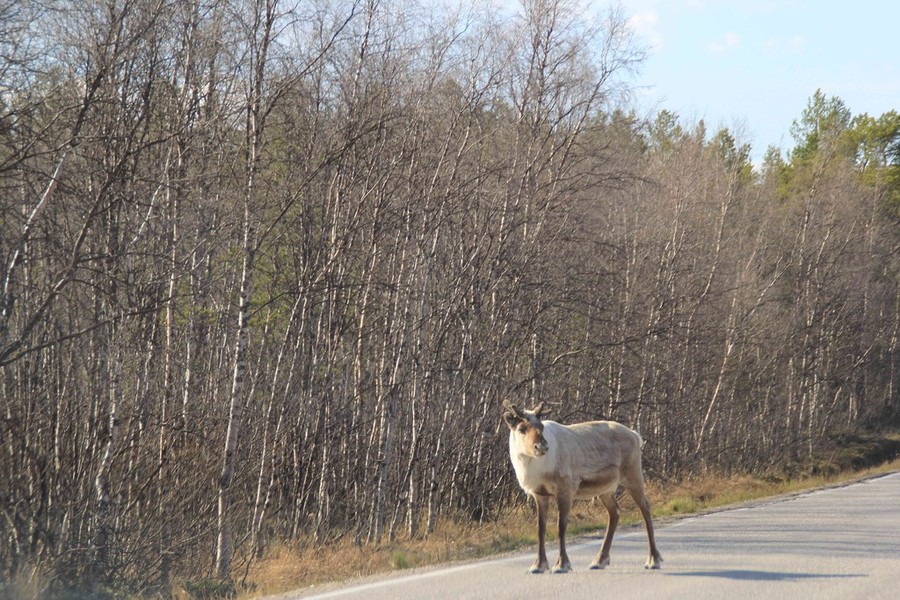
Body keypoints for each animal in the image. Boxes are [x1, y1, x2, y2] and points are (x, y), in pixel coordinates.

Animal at [502, 400, 662, 574]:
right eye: (521, 428)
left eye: (541, 426)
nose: (542, 446)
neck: (536, 467)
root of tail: (635, 435)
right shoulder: (540, 494)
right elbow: (540, 529)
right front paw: (538, 565)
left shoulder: (565, 491)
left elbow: (561, 526)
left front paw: (562, 564)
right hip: (605, 489)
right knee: (615, 512)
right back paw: (599, 560)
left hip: (632, 475)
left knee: (645, 508)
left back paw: (653, 560)